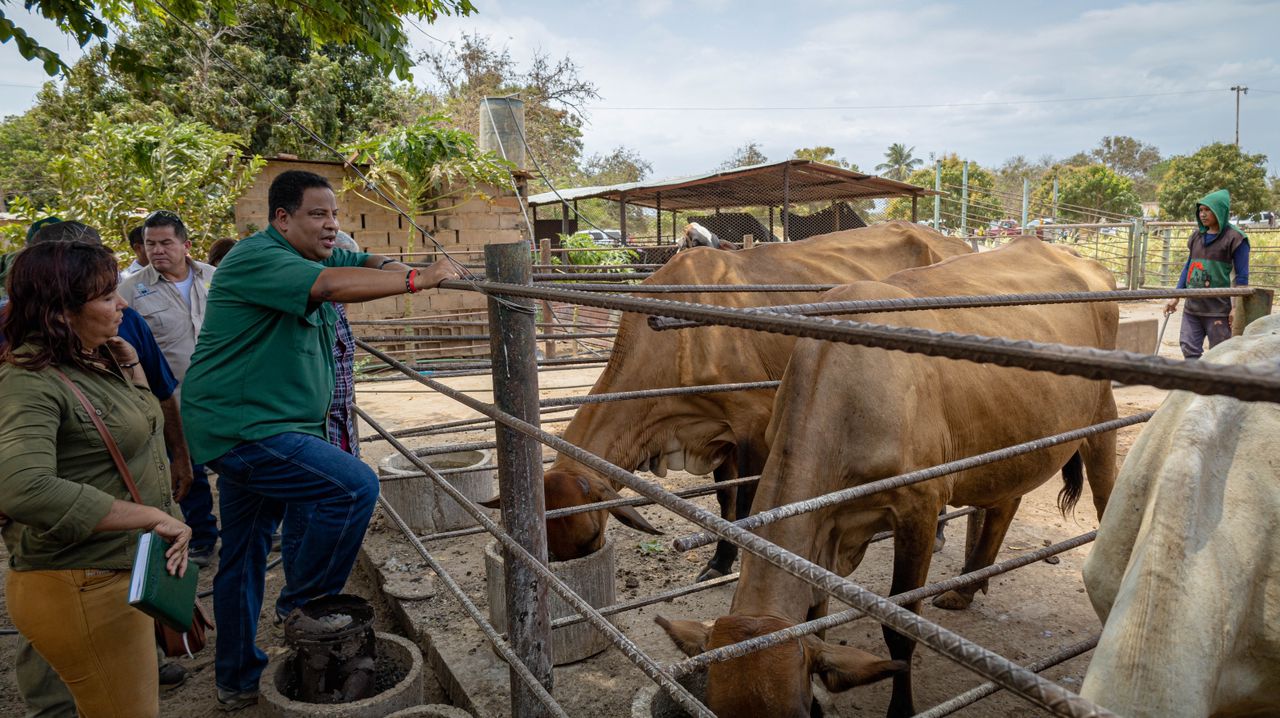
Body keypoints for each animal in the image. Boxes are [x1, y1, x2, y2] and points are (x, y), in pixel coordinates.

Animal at [509, 220, 967, 575]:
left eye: (591, 538)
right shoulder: (718, 432)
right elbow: (725, 501)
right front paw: (719, 562)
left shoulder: (753, 424)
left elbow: (744, 505)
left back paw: (940, 533)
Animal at [665, 238, 1116, 711]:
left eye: (800, 710)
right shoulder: (827, 524)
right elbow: (816, 613)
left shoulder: (918, 507)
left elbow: (900, 629)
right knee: (1005, 502)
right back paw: (965, 589)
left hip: (1102, 417)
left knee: (1106, 496)